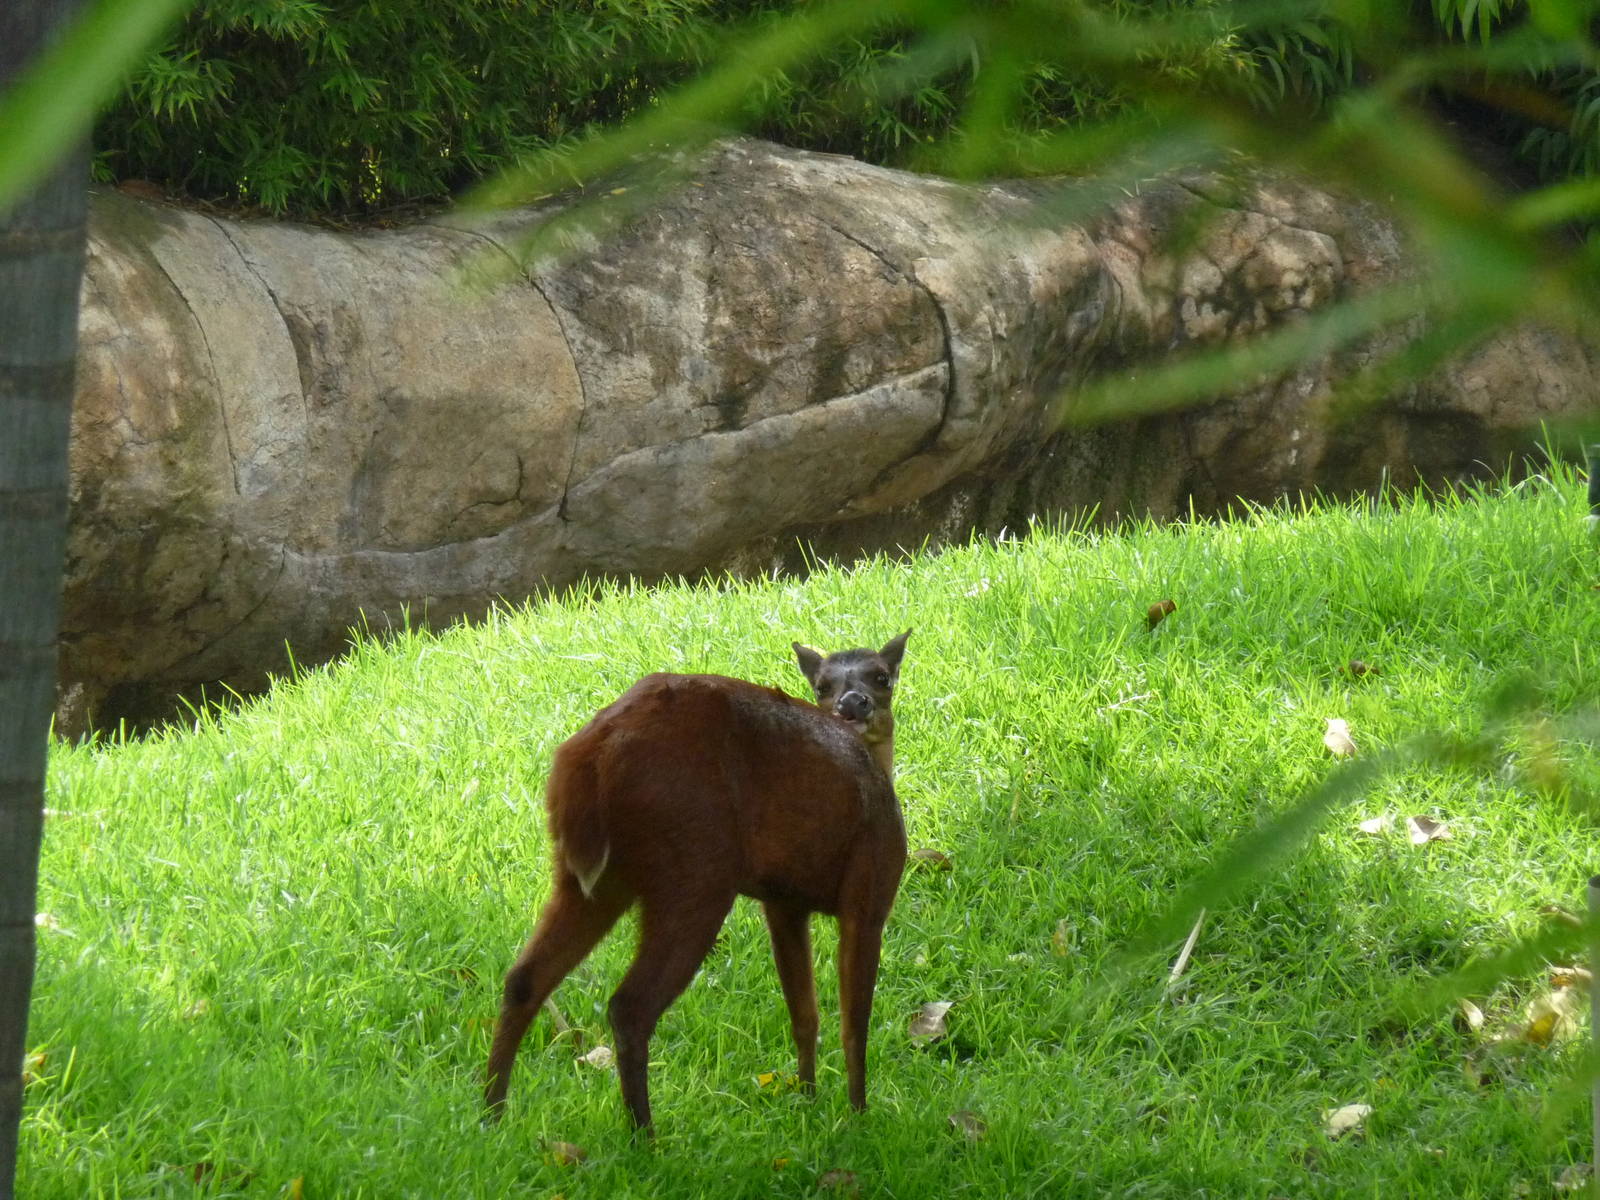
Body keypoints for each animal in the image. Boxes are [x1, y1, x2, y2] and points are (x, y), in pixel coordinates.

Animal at [482, 632, 911, 1134]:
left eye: (881, 676)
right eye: (822, 685)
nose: (853, 704)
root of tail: (589, 755)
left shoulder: (782, 902)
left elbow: (804, 1012)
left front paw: (807, 1099)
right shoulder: (869, 893)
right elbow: (854, 1021)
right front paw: (859, 1114)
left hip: (587, 880)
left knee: (523, 979)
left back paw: (491, 1114)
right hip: (694, 871)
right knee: (629, 1005)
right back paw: (644, 1136)